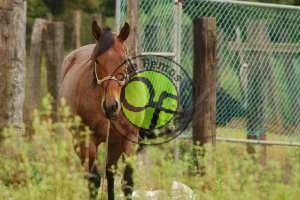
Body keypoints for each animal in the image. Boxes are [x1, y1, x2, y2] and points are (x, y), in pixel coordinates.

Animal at [59, 20, 140, 200]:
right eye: (96, 60)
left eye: (124, 60)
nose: (111, 106)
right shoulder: (87, 139)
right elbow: (94, 181)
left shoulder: (128, 138)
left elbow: (127, 181)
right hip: (79, 140)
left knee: (110, 173)